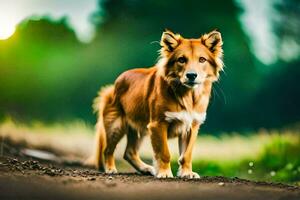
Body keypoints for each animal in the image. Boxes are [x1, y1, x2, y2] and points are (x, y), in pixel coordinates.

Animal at [86, 29, 223, 178]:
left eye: (202, 59)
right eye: (181, 59)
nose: (191, 75)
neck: (188, 96)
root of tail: (111, 88)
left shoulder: (192, 126)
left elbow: (186, 155)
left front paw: (187, 173)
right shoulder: (157, 124)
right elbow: (164, 153)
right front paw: (164, 173)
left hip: (139, 129)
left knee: (129, 152)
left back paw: (146, 169)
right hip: (116, 126)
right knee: (108, 150)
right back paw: (111, 169)